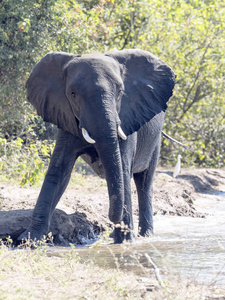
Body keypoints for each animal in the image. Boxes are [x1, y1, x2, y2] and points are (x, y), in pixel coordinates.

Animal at [18, 47, 176, 244]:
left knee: (144, 182)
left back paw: (144, 235)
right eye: (73, 94)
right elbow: (58, 171)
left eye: (120, 91)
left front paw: (125, 242)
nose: (111, 219)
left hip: (155, 140)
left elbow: (123, 170)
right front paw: (28, 241)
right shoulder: (66, 117)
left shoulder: (126, 119)